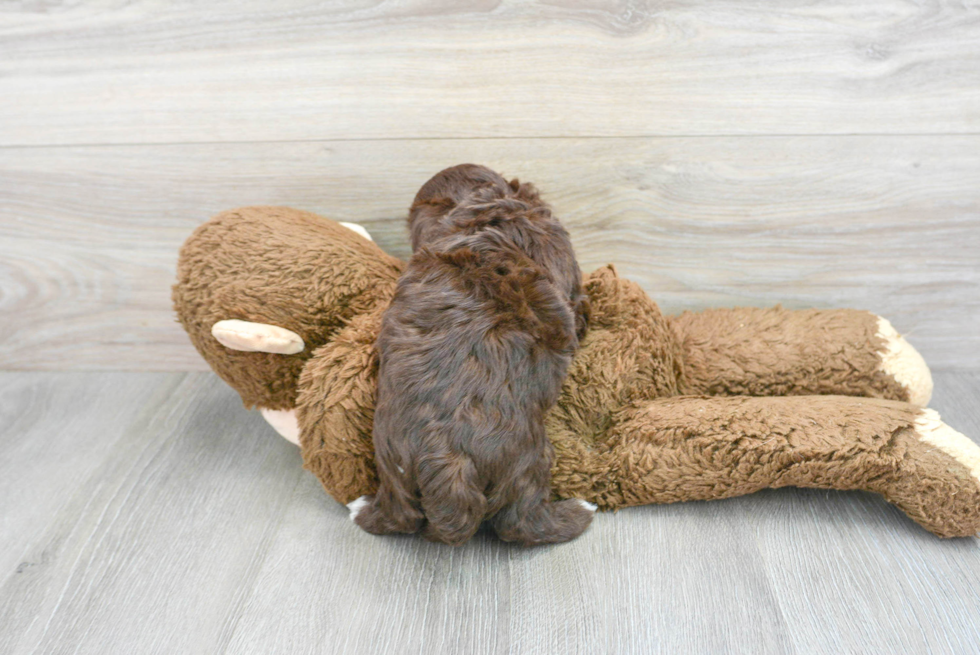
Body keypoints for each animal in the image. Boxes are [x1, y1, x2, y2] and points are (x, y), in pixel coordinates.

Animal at [352, 165, 596, 548]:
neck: (486, 210)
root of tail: (448, 468)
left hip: (393, 470)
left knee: (398, 517)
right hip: (528, 463)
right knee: (522, 523)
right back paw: (577, 512)